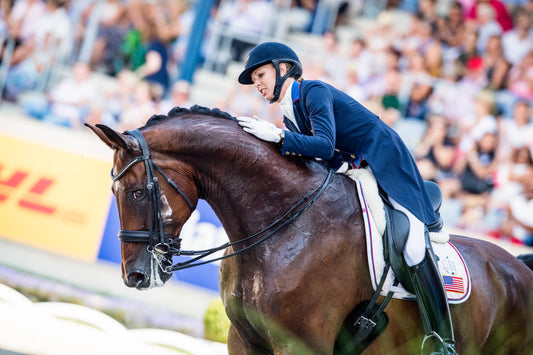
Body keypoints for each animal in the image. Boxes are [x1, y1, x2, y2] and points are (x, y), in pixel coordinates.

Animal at [86, 106, 532, 355]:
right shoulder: (243, 340)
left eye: (137, 192)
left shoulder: (300, 344)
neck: (284, 225)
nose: (135, 276)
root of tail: (520, 268)